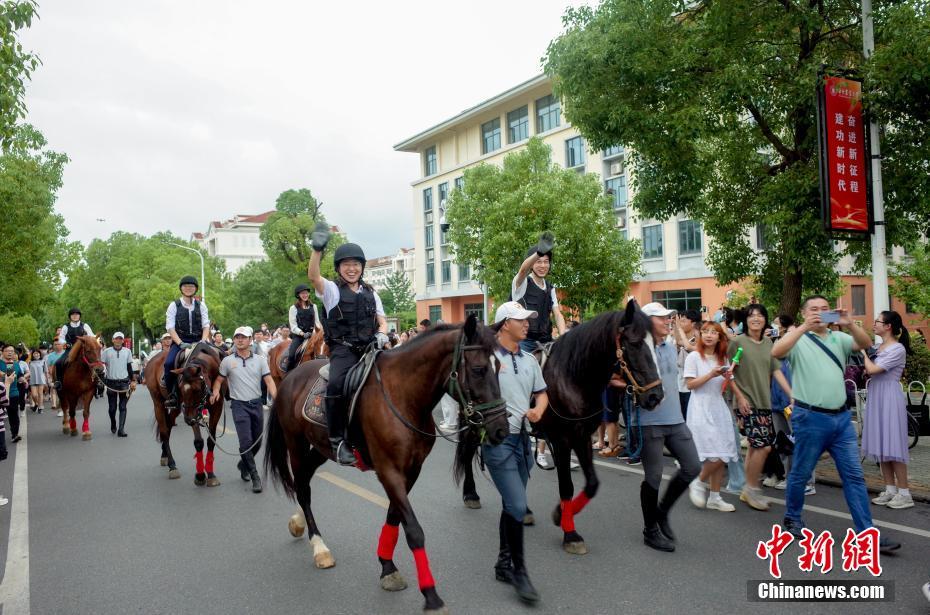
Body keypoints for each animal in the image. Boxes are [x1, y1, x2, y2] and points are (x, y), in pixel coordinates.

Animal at [144, 342, 226, 486]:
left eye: (197, 389)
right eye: (181, 388)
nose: (188, 420)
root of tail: (152, 360)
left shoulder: (217, 407)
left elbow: (211, 440)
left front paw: (211, 475)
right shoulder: (193, 413)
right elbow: (198, 442)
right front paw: (200, 476)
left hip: (176, 408)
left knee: (169, 425)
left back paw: (164, 455)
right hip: (158, 404)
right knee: (164, 432)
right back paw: (172, 466)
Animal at [260, 318, 508, 615]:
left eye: (499, 367)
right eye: (479, 369)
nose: (501, 429)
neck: (403, 395)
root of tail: (290, 377)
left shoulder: (411, 471)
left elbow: (394, 517)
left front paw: (387, 567)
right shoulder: (388, 470)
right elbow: (413, 530)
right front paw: (431, 594)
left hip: (321, 448)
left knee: (304, 481)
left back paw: (298, 523)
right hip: (296, 444)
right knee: (302, 488)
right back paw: (319, 546)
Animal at [456, 300, 660, 556]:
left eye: (657, 343)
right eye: (634, 343)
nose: (655, 396)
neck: (572, 377)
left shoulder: (582, 437)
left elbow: (592, 484)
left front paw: (561, 514)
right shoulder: (562, 440)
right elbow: (566, 486)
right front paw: (570, 534)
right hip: (473, 422)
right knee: (468, 453)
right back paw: (470, 493)